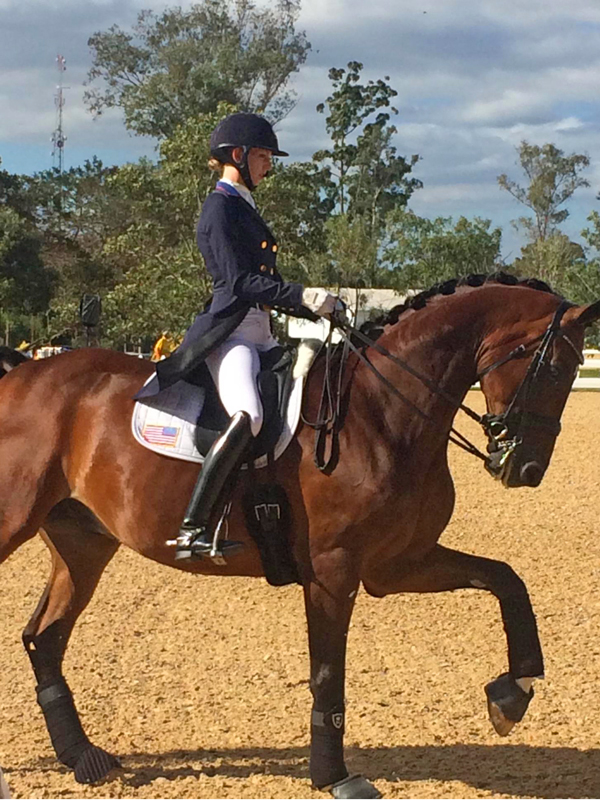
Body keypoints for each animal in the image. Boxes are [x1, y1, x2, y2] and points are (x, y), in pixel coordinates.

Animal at [0, 274, 596, 792]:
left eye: (573, 371)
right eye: (552, 367)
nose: (525, 470)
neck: (383, 412)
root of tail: (20, 374)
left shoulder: (398, 565)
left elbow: (506, 580)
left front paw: (513, 693)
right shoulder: (335, 569)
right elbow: (328, 672)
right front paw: (335, 777)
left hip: (84, 543)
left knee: (44, 638)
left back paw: (85, 758)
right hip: (17, 521)